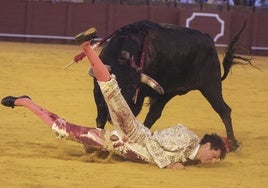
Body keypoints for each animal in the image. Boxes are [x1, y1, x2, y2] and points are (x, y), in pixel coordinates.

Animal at [91, 19, 249, 151]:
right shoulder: (97, 92)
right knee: (153, 115)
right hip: (169, 92)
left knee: (224, 110)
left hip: (210, 85)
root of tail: (208, 39)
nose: (113, 117)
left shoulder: (138, 98)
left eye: (132, 92)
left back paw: (233, 144)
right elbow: (100, 117)